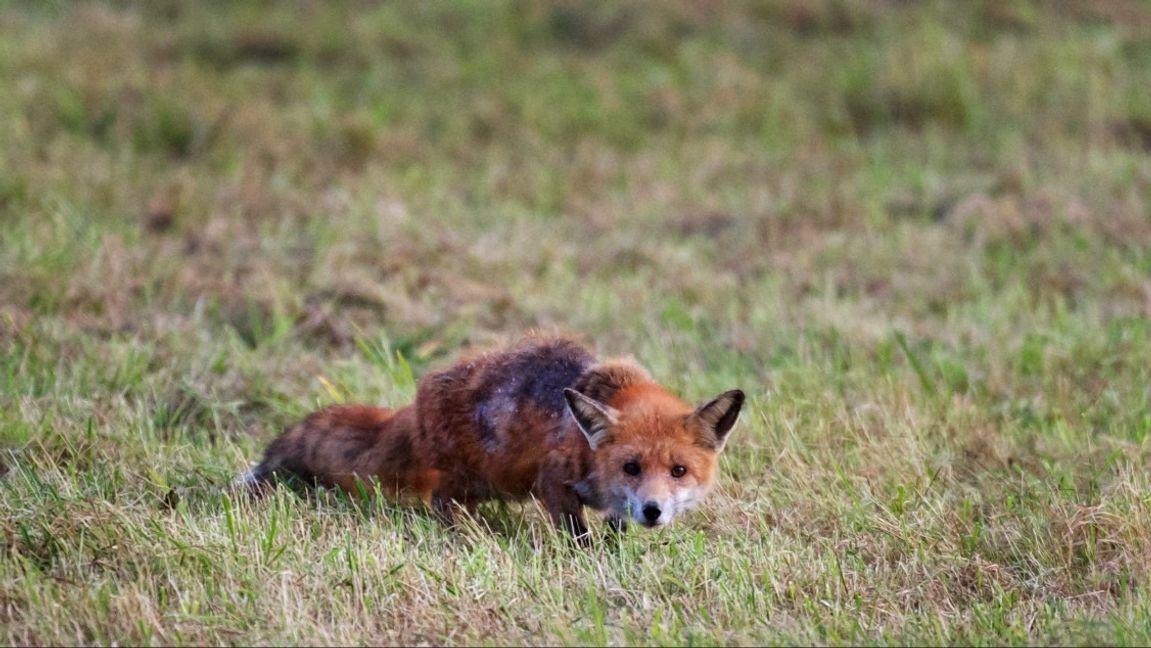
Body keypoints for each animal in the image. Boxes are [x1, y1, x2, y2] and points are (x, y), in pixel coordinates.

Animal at [245, 333, 745, 543]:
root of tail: (419, 400)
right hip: (478, 480)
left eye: (679, 470)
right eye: (631, 467)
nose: (653, 511)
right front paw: (587, 559)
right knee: (441, 502)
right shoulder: (553, 480)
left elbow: (614, 527)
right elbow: (577, 534)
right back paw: (462, 533)